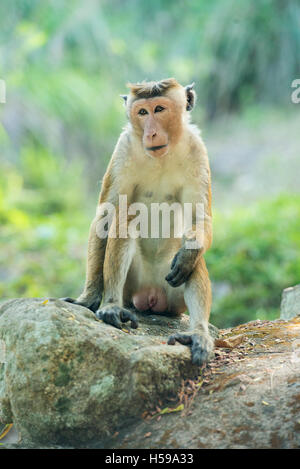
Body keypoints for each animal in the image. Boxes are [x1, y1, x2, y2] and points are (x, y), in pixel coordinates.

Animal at [62, 77, 213, 366]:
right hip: (132, 288)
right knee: (126, 220)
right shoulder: (123, 148)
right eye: (142, 112)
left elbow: (199, 218)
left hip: (172, 293)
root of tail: (152, 297)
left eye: (159, 109)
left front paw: (189, 253)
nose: (151, 133)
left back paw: (198, 333)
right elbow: (107, 216)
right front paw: (89, 298)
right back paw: (111, 307)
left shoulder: (197, 149)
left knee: (190, 255)